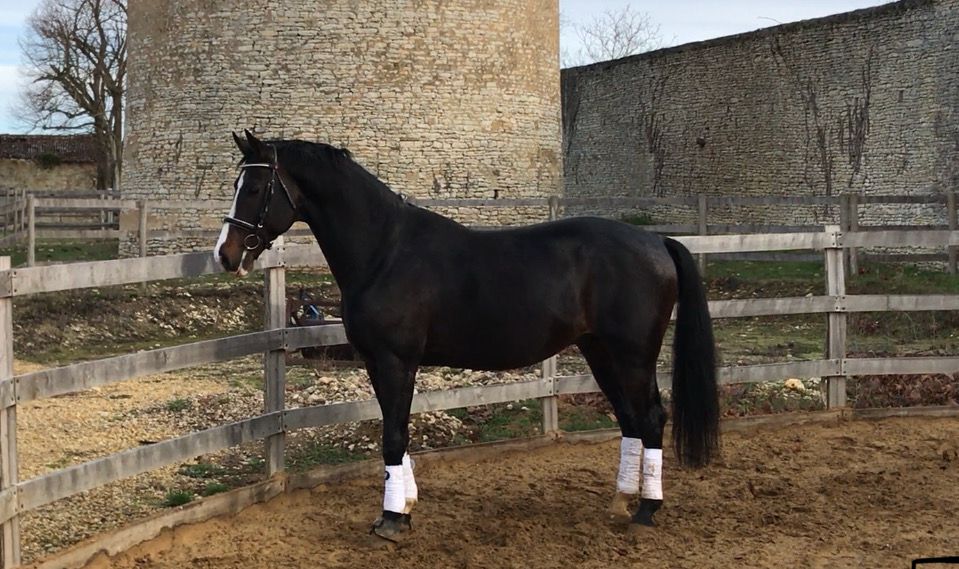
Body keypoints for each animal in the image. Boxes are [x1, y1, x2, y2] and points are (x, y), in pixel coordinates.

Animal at [214, 130, 720, 541]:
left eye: (254, 188)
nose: (225, 254)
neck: (386, 251)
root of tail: (657, 242)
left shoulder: (396, 361)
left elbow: (393, 435)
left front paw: (392, 521)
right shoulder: (379, 363)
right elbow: (395, 430)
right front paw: (404, 507)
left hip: (633, 356)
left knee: (651, 418)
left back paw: (647, 511)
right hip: (600, 352)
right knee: (631, 420)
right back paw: (621, 502)